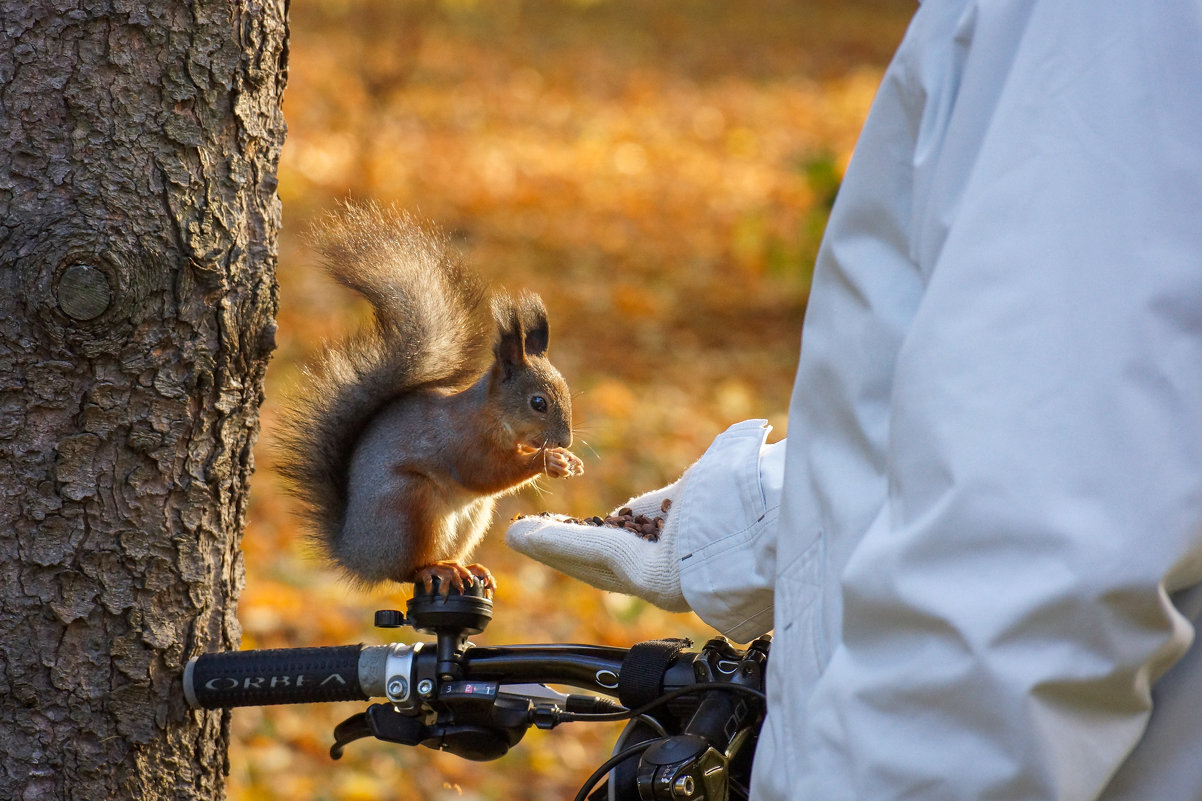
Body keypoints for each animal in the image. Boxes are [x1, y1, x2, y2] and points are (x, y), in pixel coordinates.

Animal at [277, 203, 586, 591]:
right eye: (538, 403)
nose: (565, 440)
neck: (491, 416)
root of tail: (355, 555)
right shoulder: (462, 441)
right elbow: (484, 474)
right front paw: (549, 461)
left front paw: (569, 460)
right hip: (411, 504)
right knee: (406, 571)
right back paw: (436, 569)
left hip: (473, 516)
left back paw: (466, 566)